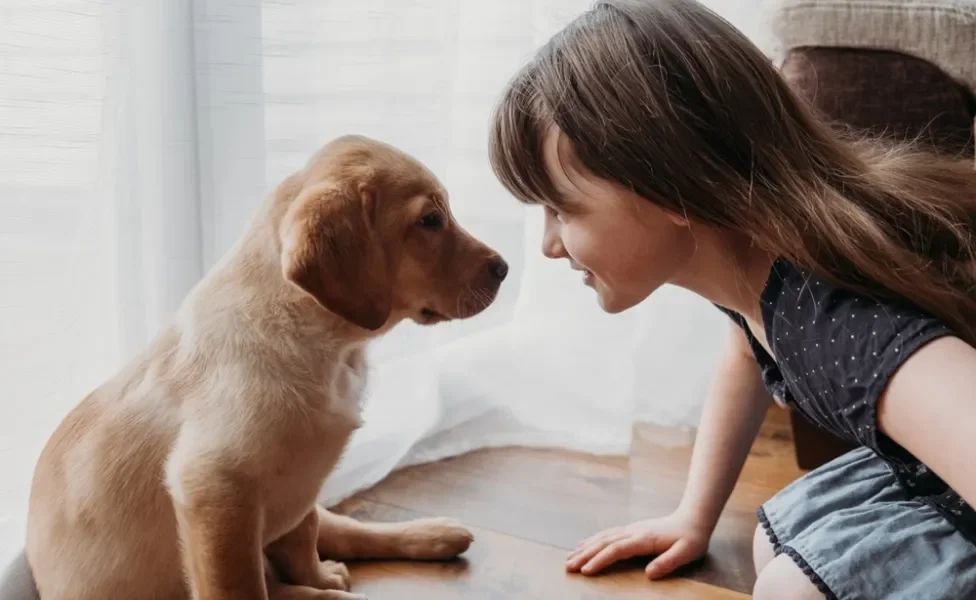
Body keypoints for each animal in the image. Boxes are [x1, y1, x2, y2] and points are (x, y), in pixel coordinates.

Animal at [25, 137, 508, 600]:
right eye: (429, 220)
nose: (504, 268)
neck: (328, 346)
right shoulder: (214, 487)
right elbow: (241, 586)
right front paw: (319, 585)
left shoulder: (299, 480)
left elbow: (304, 538)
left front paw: (320, 576)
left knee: (339, 529)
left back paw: (431, 533)